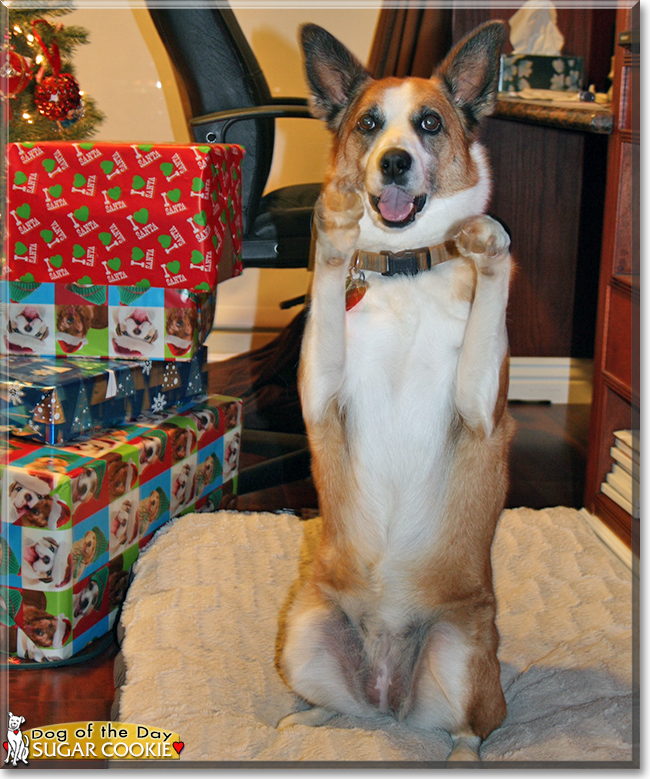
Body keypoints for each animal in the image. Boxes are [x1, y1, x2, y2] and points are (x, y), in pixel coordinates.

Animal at [276, 22, 512, 760]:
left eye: (430, 123)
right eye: (369, 125)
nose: (396, 163)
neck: (407, 273)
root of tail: (390, 692)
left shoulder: (478, 410)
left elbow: (493, 272)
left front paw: (488, 244)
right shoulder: (319, 395)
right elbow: (329, 271)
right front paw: (335, 228)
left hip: (462, 656)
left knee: (472, 729)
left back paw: (464, 756)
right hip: (303, 633)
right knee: (345, 708)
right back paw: (304, 724)